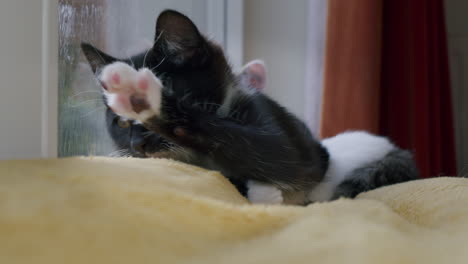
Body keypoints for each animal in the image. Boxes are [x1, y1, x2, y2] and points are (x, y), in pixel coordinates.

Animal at [81, 9, 420, 204]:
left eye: (169, 87)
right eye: (120, 123)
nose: (138, 143)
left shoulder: (295, 143)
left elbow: (270, 153)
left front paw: (143, 96)